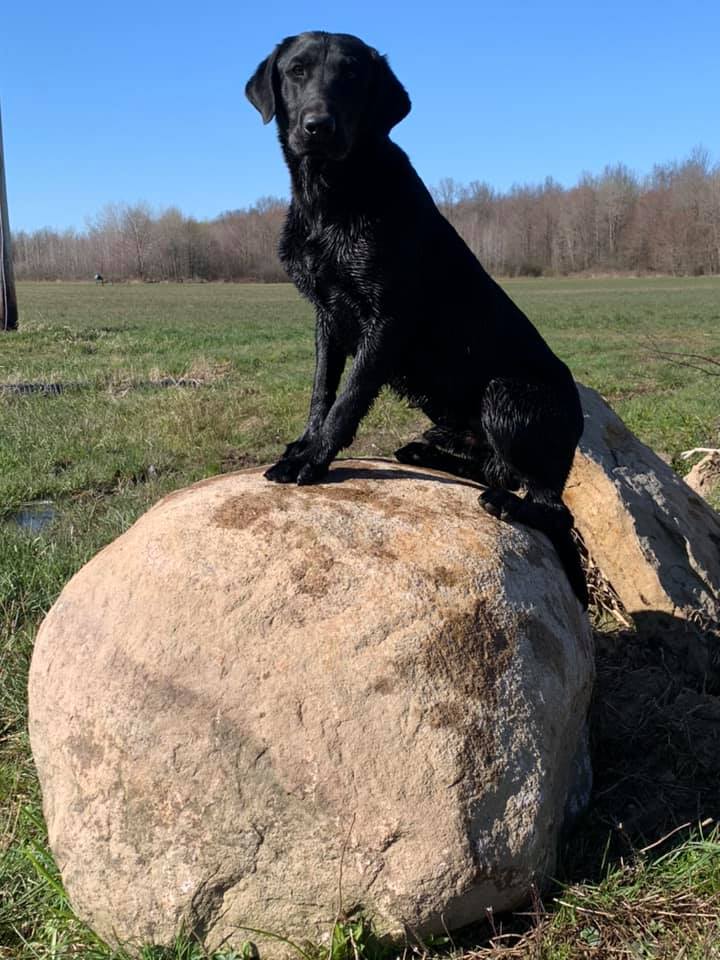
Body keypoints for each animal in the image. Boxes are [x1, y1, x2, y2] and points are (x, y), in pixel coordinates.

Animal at [245, 31, 588, 608]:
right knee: (491, 467)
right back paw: (426, 454)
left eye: (352, 76)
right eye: (296, 71)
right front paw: (303, 442)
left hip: (506, 395)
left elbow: (348, 398)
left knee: (550, 504)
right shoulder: (326, 317)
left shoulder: (388, 319)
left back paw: (509, 503)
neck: (332, 196)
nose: (318, 125)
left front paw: (313, 460)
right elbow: (321, 390)